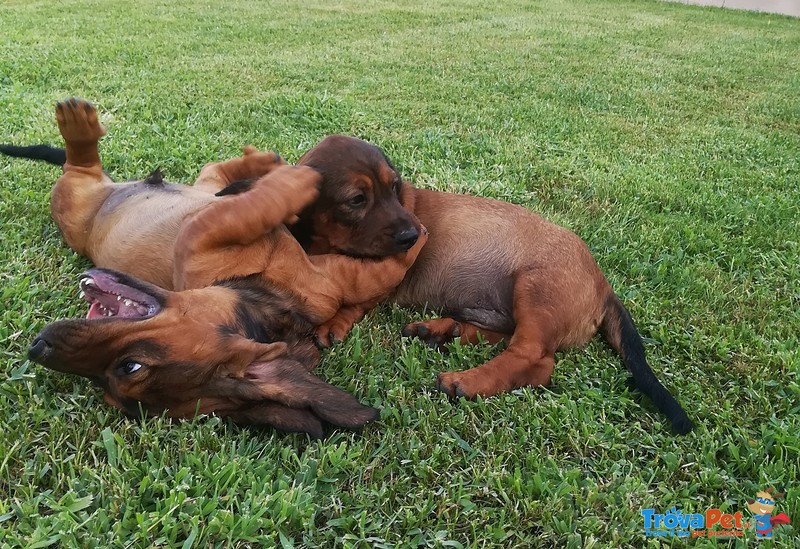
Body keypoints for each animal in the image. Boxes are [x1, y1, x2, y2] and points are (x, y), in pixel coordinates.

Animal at [294, 135, 692, 434]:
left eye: (395, 188)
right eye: (357, 200)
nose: (413, 235)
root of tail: (604, 286)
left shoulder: (388, 272)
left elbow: (356, 295)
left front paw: (336, 321)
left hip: (536, 287)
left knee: (533, 358)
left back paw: (466, 380)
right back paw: (443, 330)